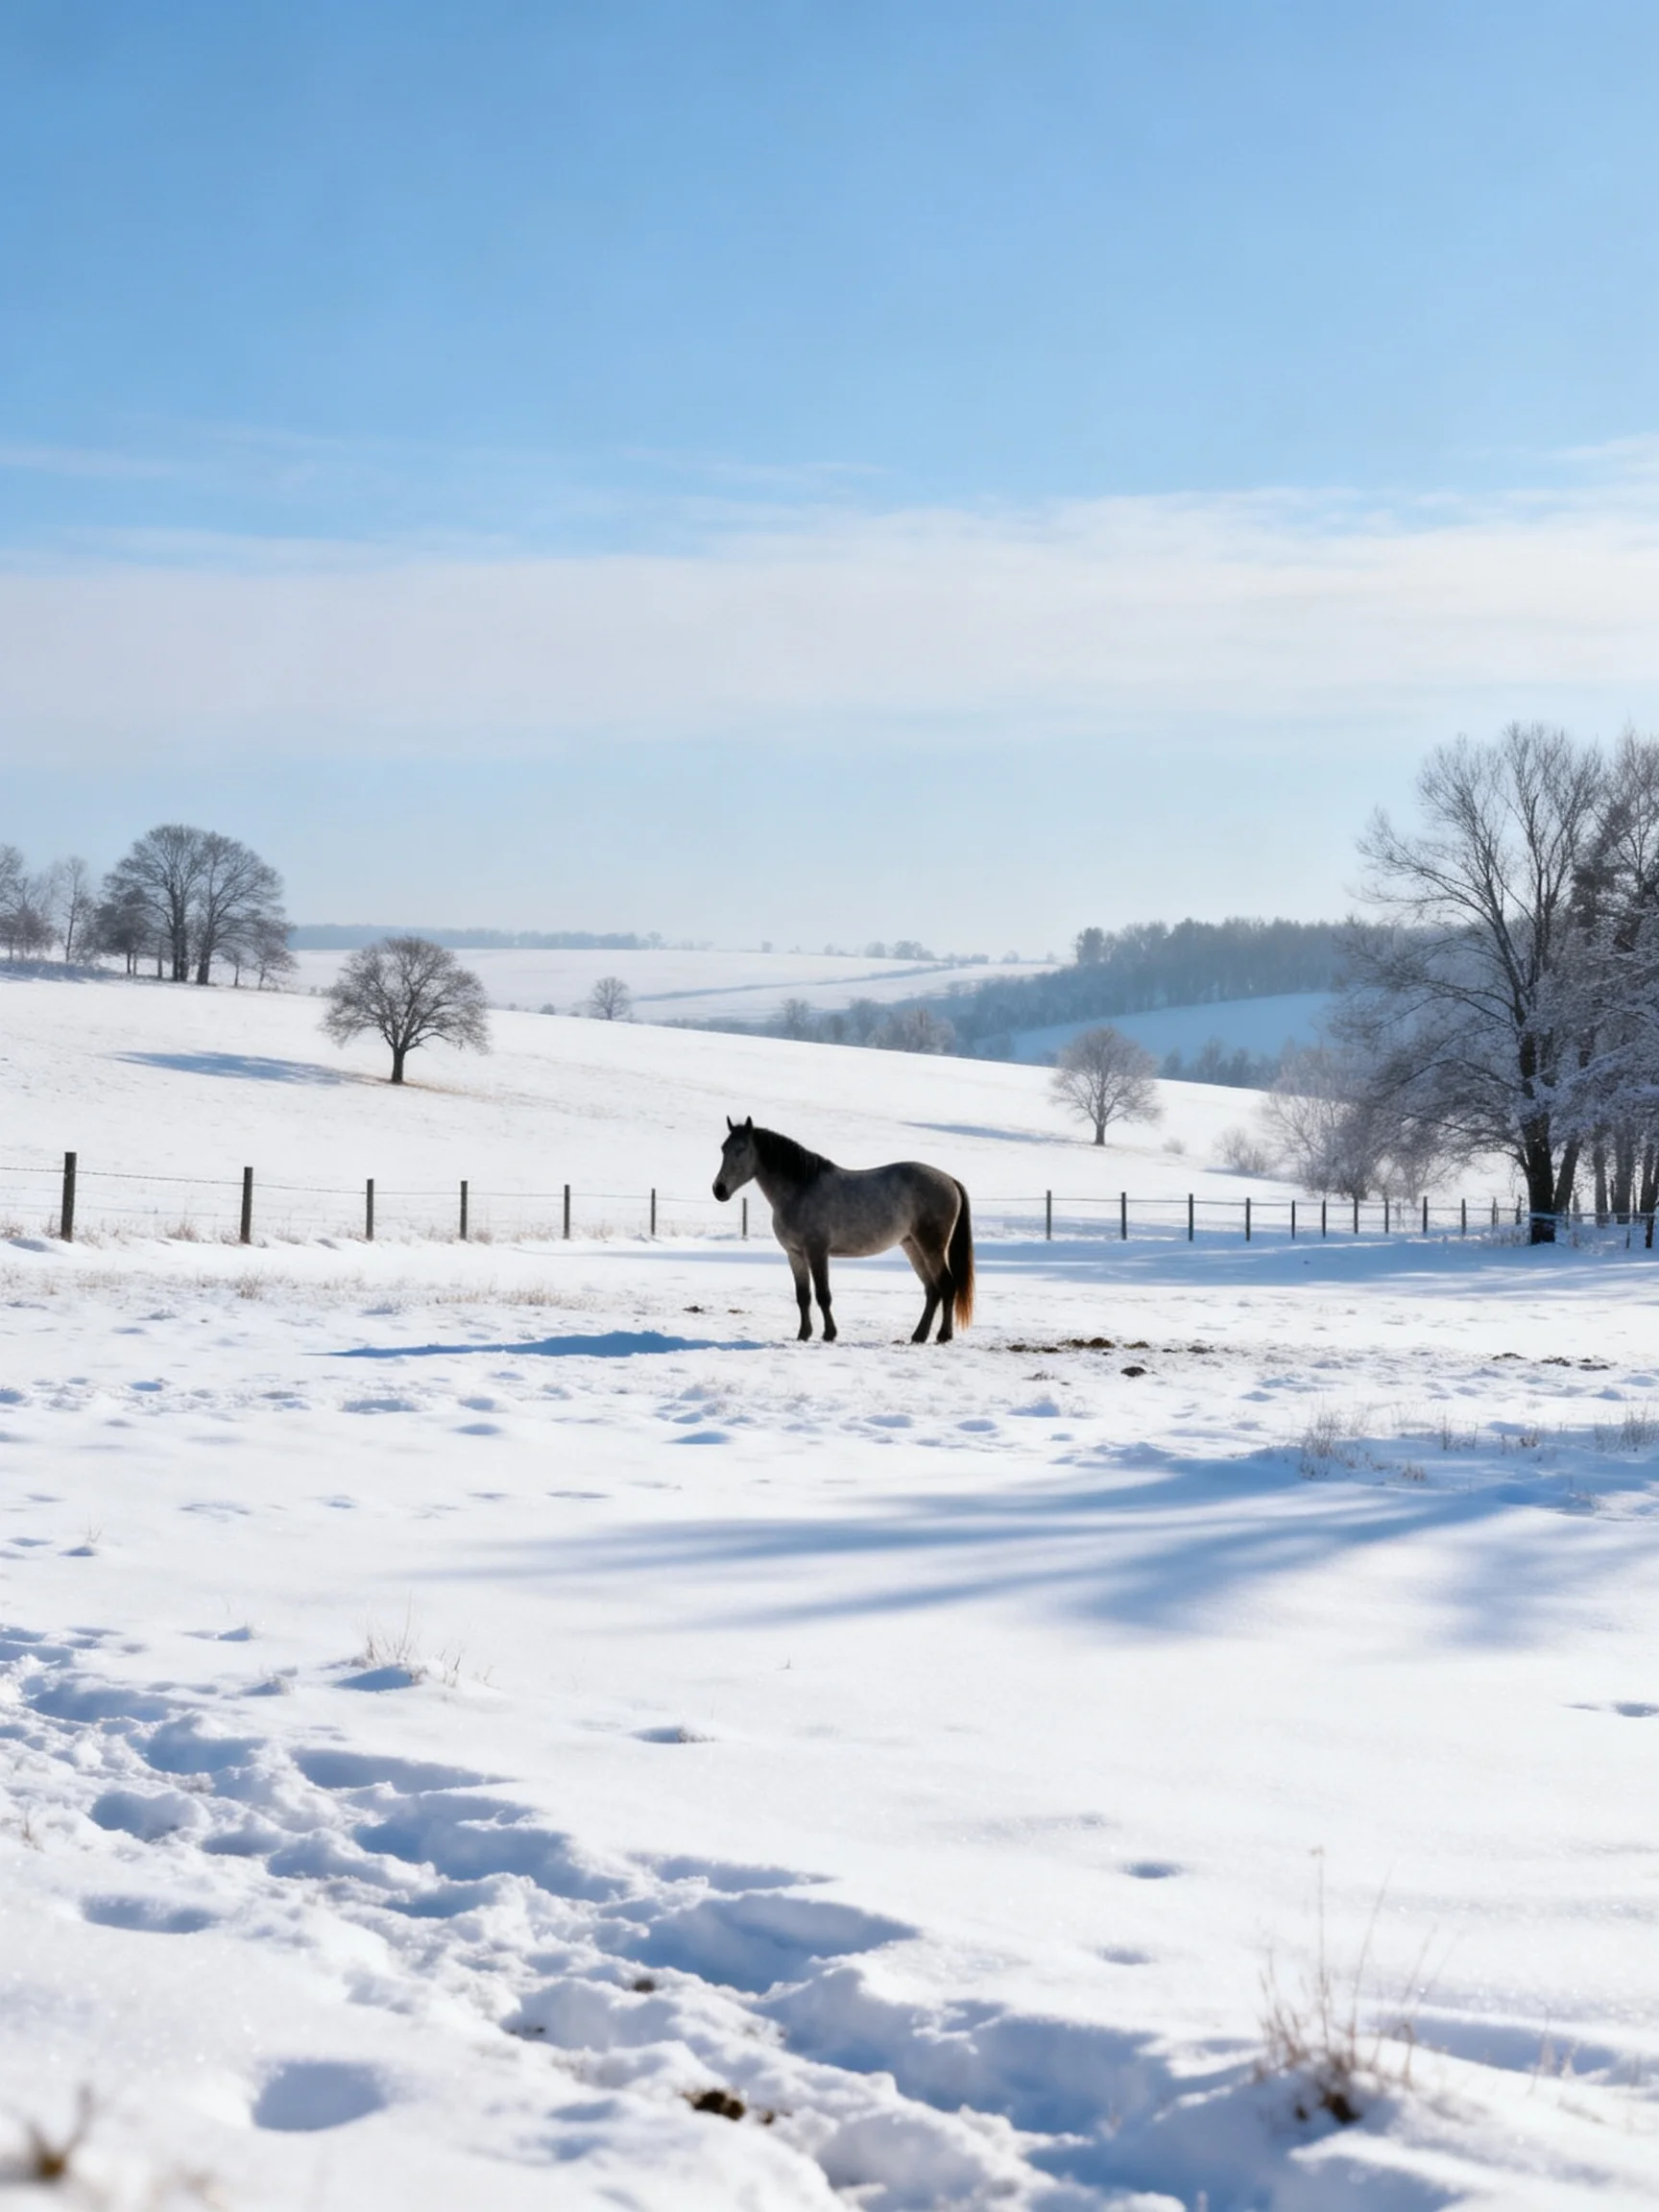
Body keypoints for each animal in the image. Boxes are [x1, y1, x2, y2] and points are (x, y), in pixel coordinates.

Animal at [712, 1117, 974, 1344]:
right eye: (724, 1148)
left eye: (741, 1149)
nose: (719, 1190)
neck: (800, 1190)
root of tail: (950, 1181)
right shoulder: (795, 1255)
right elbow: (803, 1296)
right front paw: (803, 1334)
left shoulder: (817, 1252)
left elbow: (823, 1295)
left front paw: (829, 1334)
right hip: (912, 1245)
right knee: (932, 1290)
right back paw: (919, 1336)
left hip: (931, 1246)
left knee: (947, 1285)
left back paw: (943, 1336)